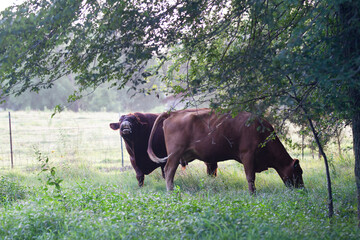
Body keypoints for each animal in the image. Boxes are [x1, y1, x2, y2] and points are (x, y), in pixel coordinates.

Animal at [146, 109, 304, 193]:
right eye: (298, 172)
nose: (302, 189)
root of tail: (174, 112)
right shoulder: (247, 155)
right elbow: (250, 178)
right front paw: (253, 195)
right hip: (174, 154)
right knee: (169, 171)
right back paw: (171, 192)